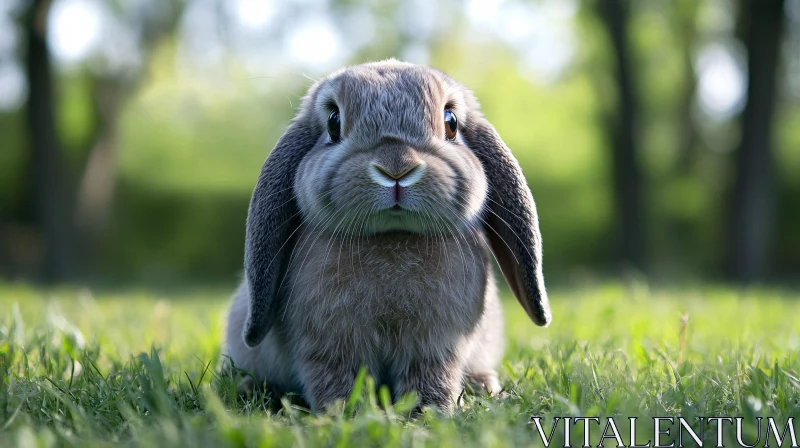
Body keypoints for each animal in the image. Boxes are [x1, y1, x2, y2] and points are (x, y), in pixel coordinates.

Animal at [225, 59, 552, 412]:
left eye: (451, 123)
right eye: (333, 122)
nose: (397, 167)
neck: (392, 235)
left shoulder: (436, 348)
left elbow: (431, 379)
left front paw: (428, 412)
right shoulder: (326, 348)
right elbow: (335, 381)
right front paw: (342, 412)